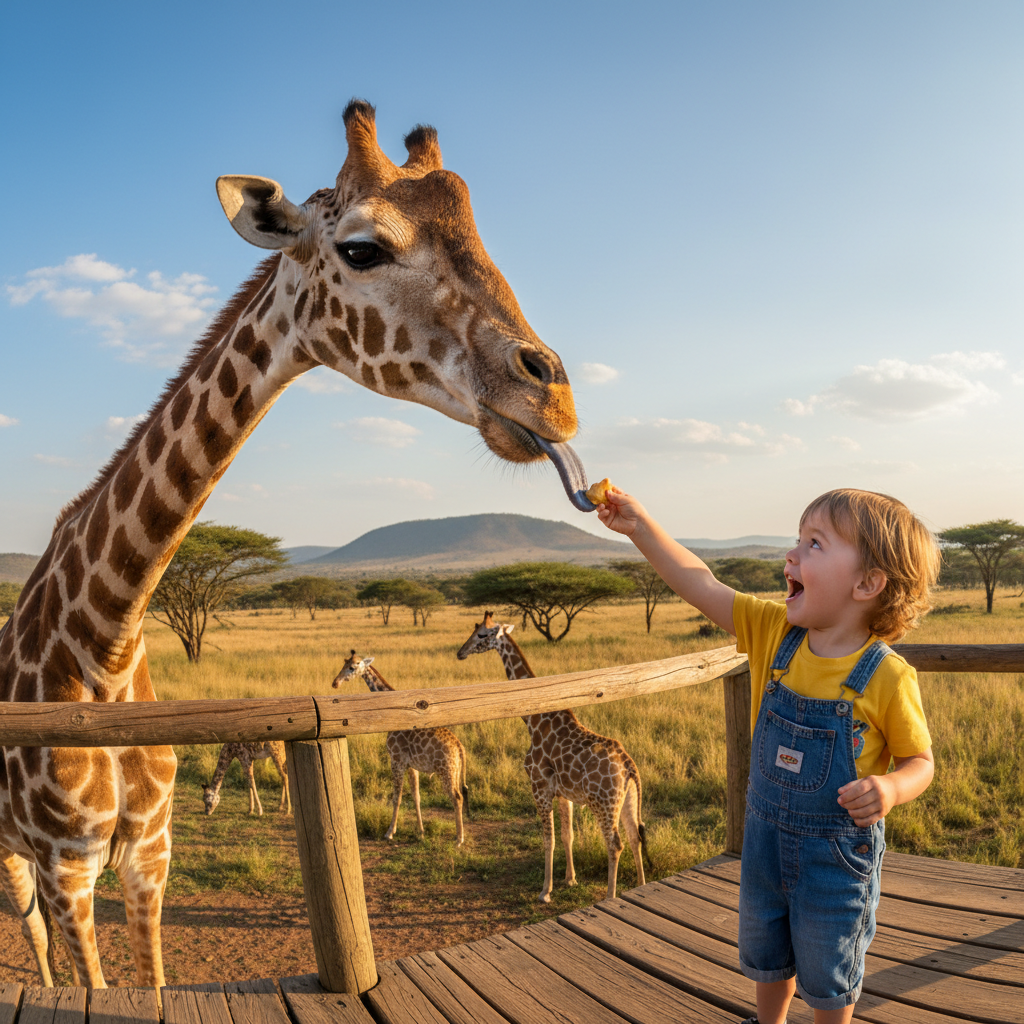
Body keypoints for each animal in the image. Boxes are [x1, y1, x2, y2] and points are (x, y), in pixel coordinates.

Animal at [333, 651, 468, 845]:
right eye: (343, 664)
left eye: (352, 667)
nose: (335, 683)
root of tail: (460, 747)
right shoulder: (411, 765)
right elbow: (416, 796)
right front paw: (421, 832)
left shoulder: (396, 759)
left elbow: (396, 797)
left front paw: (390, 832)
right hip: (455, 770)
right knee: (460, 795)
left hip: (446, 770)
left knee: (456, 797)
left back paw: (459, 839)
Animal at [457, 612, 652, 903]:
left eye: (482, 634)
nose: (460, 652)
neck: (533, 720)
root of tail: (629, 766)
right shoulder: (563, 793)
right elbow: (567, 834)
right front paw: (570, 879)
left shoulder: (539, 787)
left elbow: (548, 839)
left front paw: (545, 891)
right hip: (627, 799)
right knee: (634, 836)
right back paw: (640, 886)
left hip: (603, 802)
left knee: (615, 844)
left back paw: (610, 896)